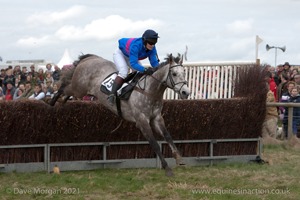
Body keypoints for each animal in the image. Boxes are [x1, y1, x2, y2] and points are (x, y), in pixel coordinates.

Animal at [49, 53, 190, 177]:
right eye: (174, 74)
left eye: (184, 73)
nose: (186, 92)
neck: (150, 91)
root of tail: (90, 58)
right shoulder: (141, 121)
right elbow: (154, 144)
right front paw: (167, 168)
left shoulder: (156, 118)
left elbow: (168, 136)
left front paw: (179, 158)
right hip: (79, 87)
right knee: (65, 87)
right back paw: (52, 101)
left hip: (80, 90)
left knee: (67, 91)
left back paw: (62, 101)